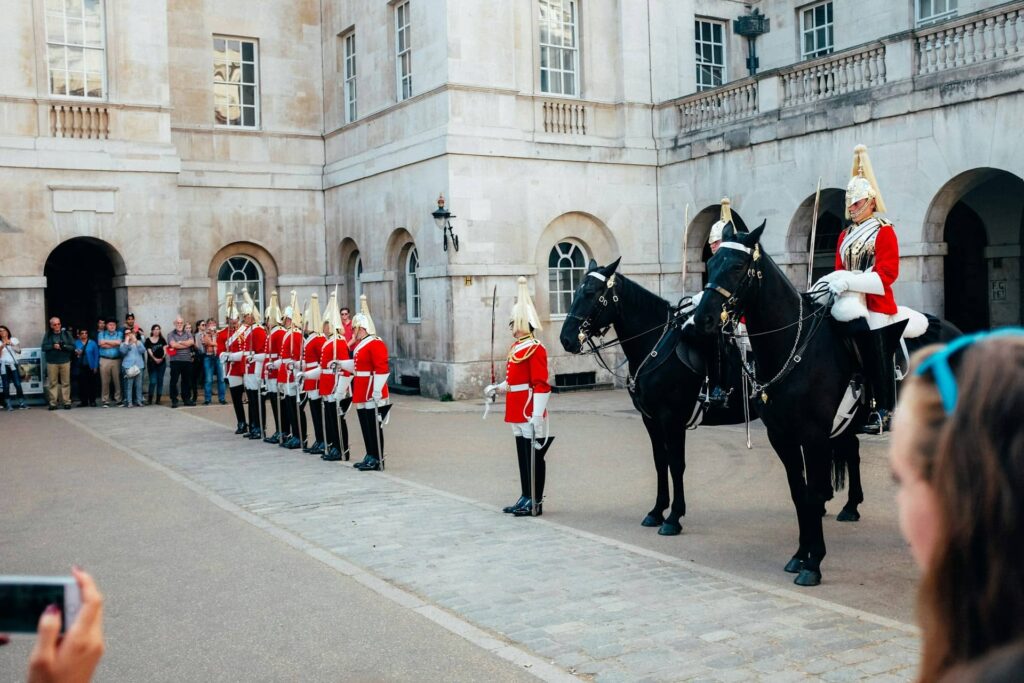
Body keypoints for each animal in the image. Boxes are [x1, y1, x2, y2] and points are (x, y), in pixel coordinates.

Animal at [688, 224, 958, 589]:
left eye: (737, 266)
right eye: (711, 261)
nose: (701, 319)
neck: (795, 346)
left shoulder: (814, 437)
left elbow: (814, 494)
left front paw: (813, 563)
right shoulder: (782, 437)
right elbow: (799, 494)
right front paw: (800, 555)